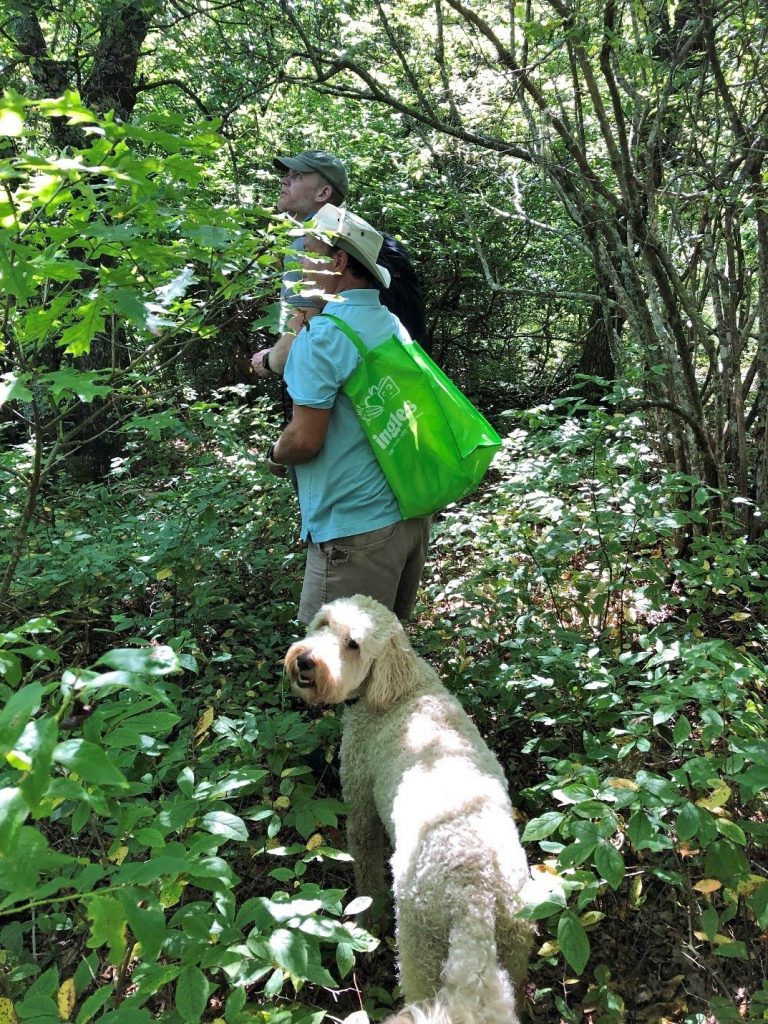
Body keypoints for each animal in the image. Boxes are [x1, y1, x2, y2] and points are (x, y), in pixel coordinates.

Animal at [284, 593, 536, 1024]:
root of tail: (475, 898)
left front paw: (368, 919)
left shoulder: (359, 798)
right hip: (516, 937)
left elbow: (366, 863)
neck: (402, 688)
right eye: (323, 623)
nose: (305, 660)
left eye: (353, 644)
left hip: (420, 943)